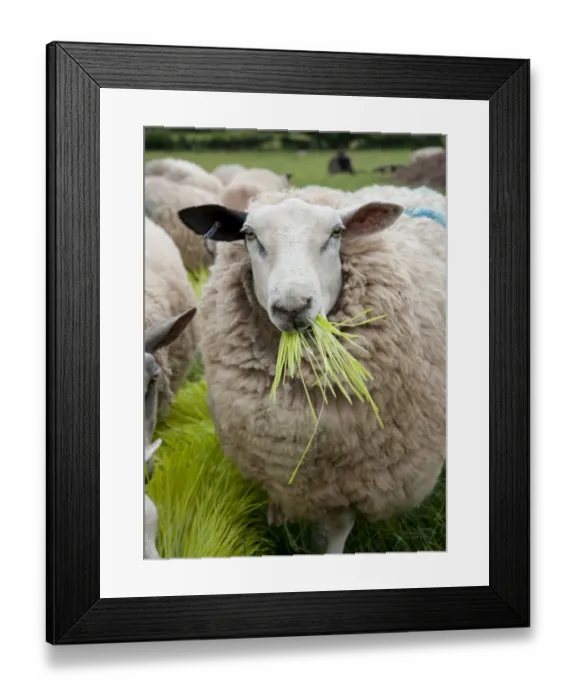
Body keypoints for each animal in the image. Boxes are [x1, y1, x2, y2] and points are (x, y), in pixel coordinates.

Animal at [177, 188, 446, 554]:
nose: (293, 307)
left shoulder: (348, 479)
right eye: (249, 235)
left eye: (336, 233)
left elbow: (335, 529)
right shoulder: (293, 474)